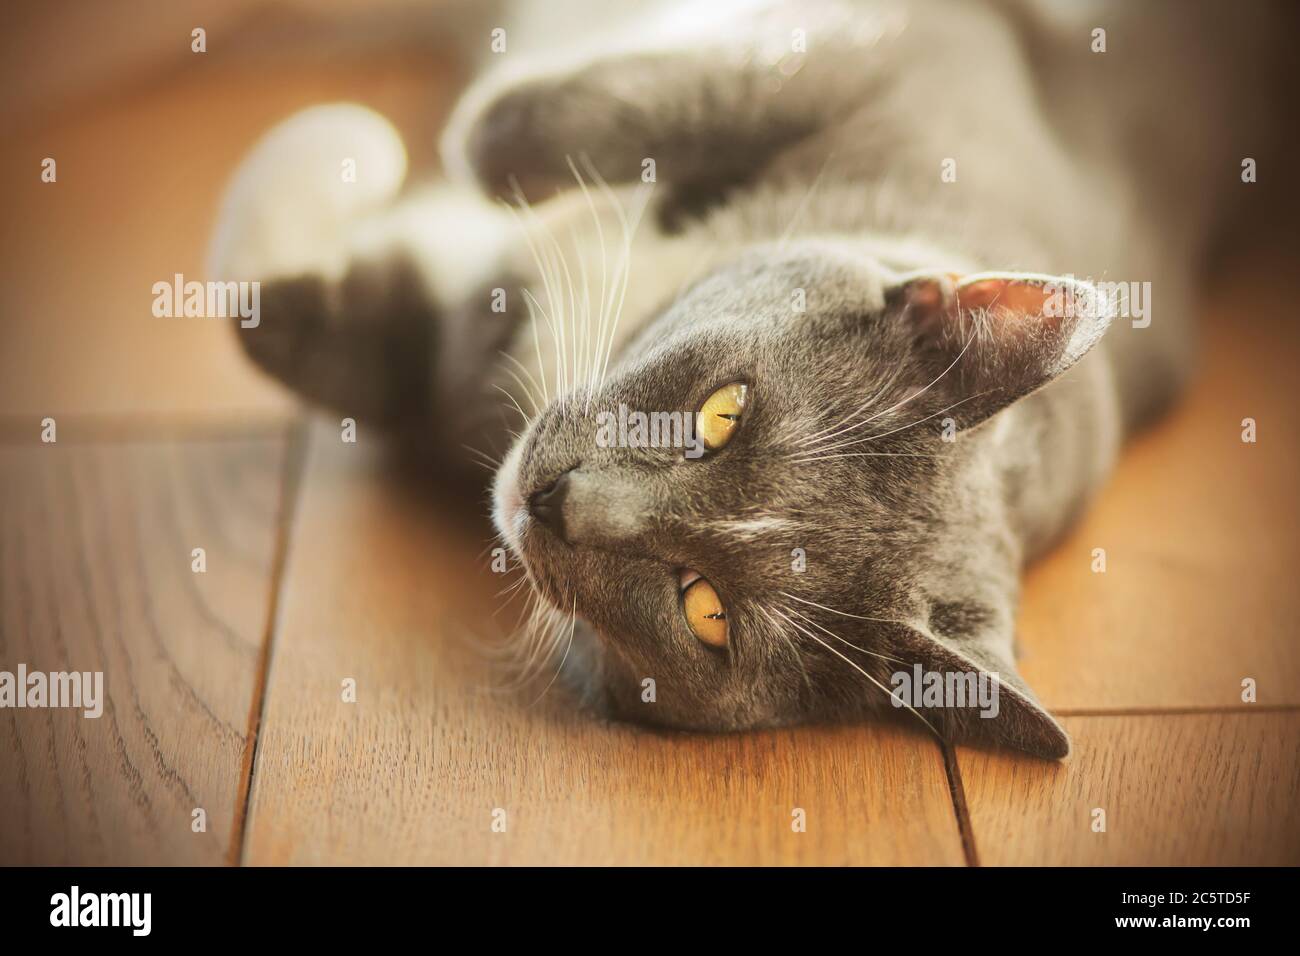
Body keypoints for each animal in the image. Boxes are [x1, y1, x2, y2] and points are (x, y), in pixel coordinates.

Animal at [205, 1, 1289, 764]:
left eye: (706, 611)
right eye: (724, 412)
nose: (555, 501)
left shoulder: (453, 371)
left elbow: (309, 334)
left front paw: (349, 144)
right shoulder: (907, 41)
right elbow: (511, 126)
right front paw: (368, 141)